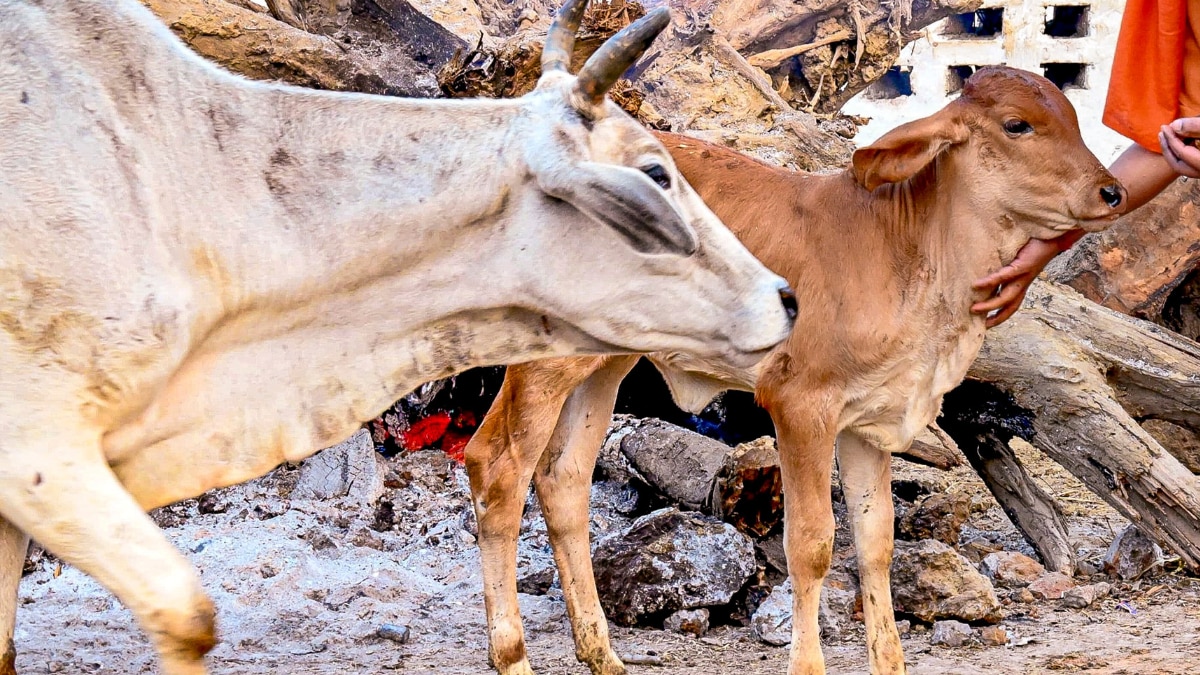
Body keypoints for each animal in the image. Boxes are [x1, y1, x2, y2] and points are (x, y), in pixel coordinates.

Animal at [465, 64, 1123, 672]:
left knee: (564, 479)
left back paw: (602, 653)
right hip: (545, 361)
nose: (1112, 192)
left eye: (1073, 118)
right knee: (497, 469)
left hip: (605, 363)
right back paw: (512, 655)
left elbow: (876, 542)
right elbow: (812, 543)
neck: (914, 253)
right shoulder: (800, 403)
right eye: (1017, 125)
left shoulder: (869, 420)